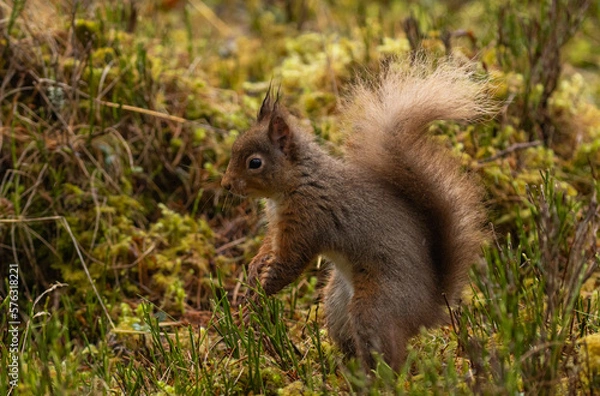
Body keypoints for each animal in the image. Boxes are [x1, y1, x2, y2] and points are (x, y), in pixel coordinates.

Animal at [223, 60, 490, 370]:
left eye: (255, 163)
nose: (225, 184)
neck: (299, 181)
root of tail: (429, 309)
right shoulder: (278, 226)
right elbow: (268, 247)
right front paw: (254, 270)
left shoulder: (309, 220)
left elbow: (290, 263)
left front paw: (261, 291)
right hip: (337, 305)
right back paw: (343, 370)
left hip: (375, 307)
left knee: (387, 358)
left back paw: (370, 376)